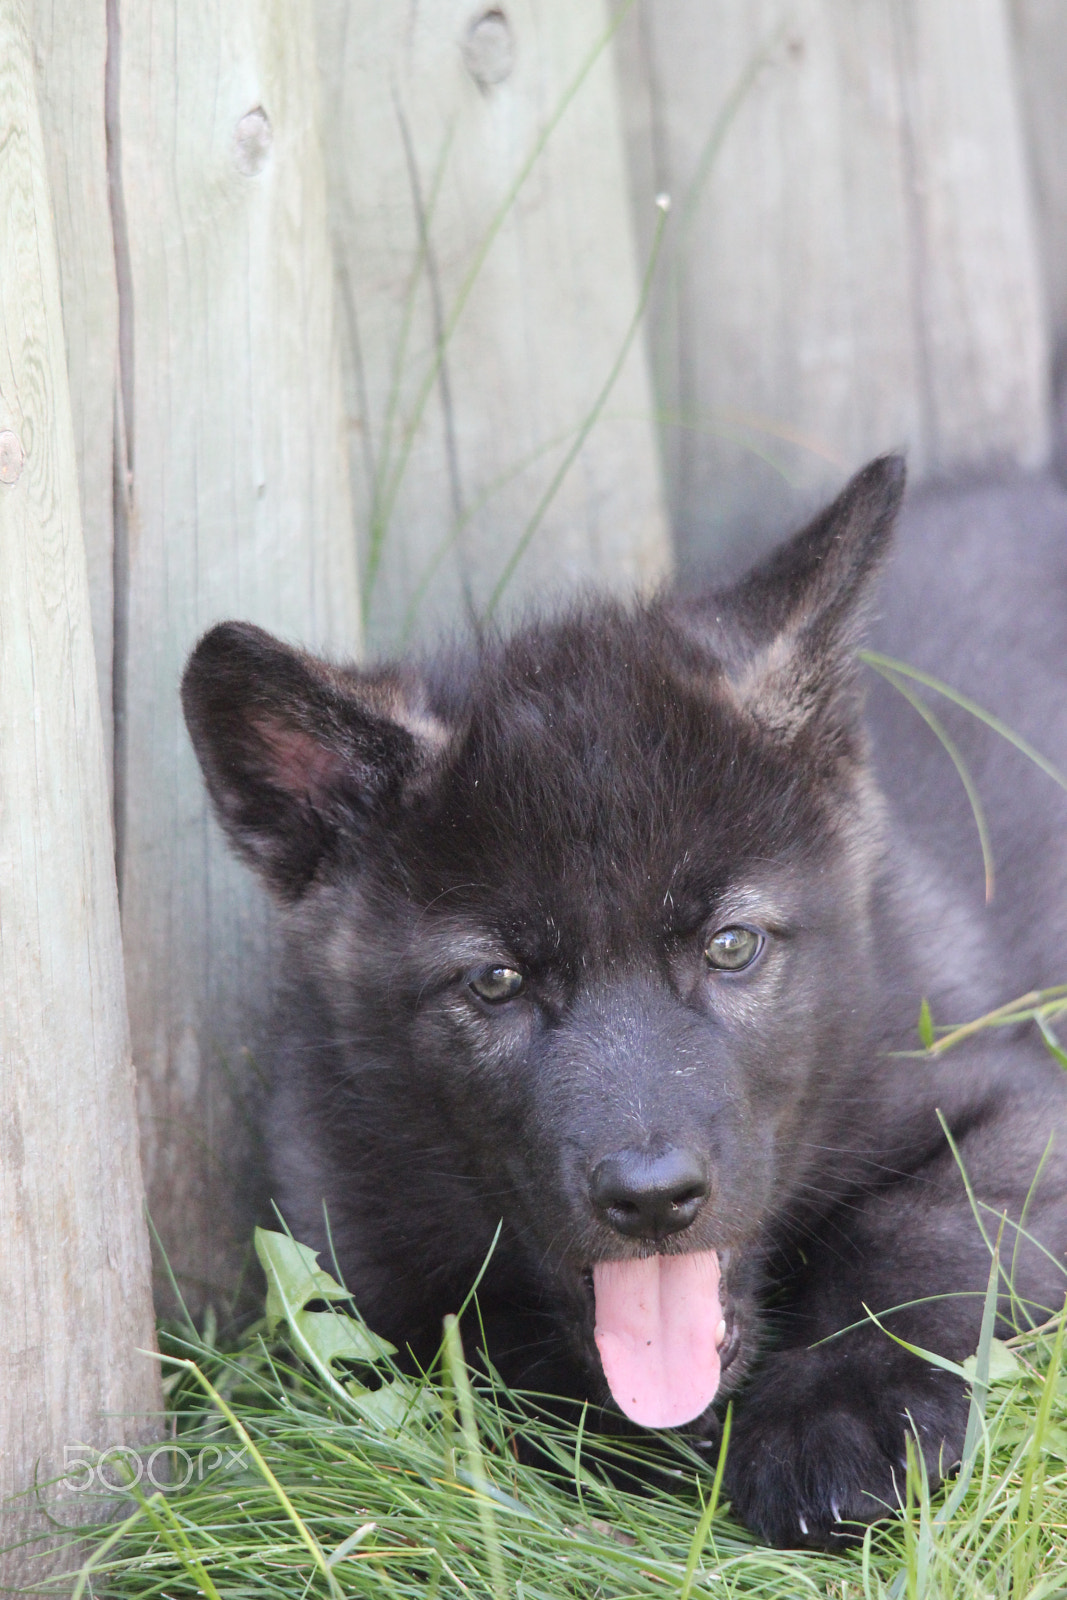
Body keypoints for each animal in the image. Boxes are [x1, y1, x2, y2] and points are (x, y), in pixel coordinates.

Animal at [182, 456, 1067, 1547]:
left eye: (730, 945)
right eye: (496, 981)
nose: (651, 1199)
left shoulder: (1020, 1098)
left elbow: (924, 1227)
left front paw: (838, 1411)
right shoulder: (349, 1244)